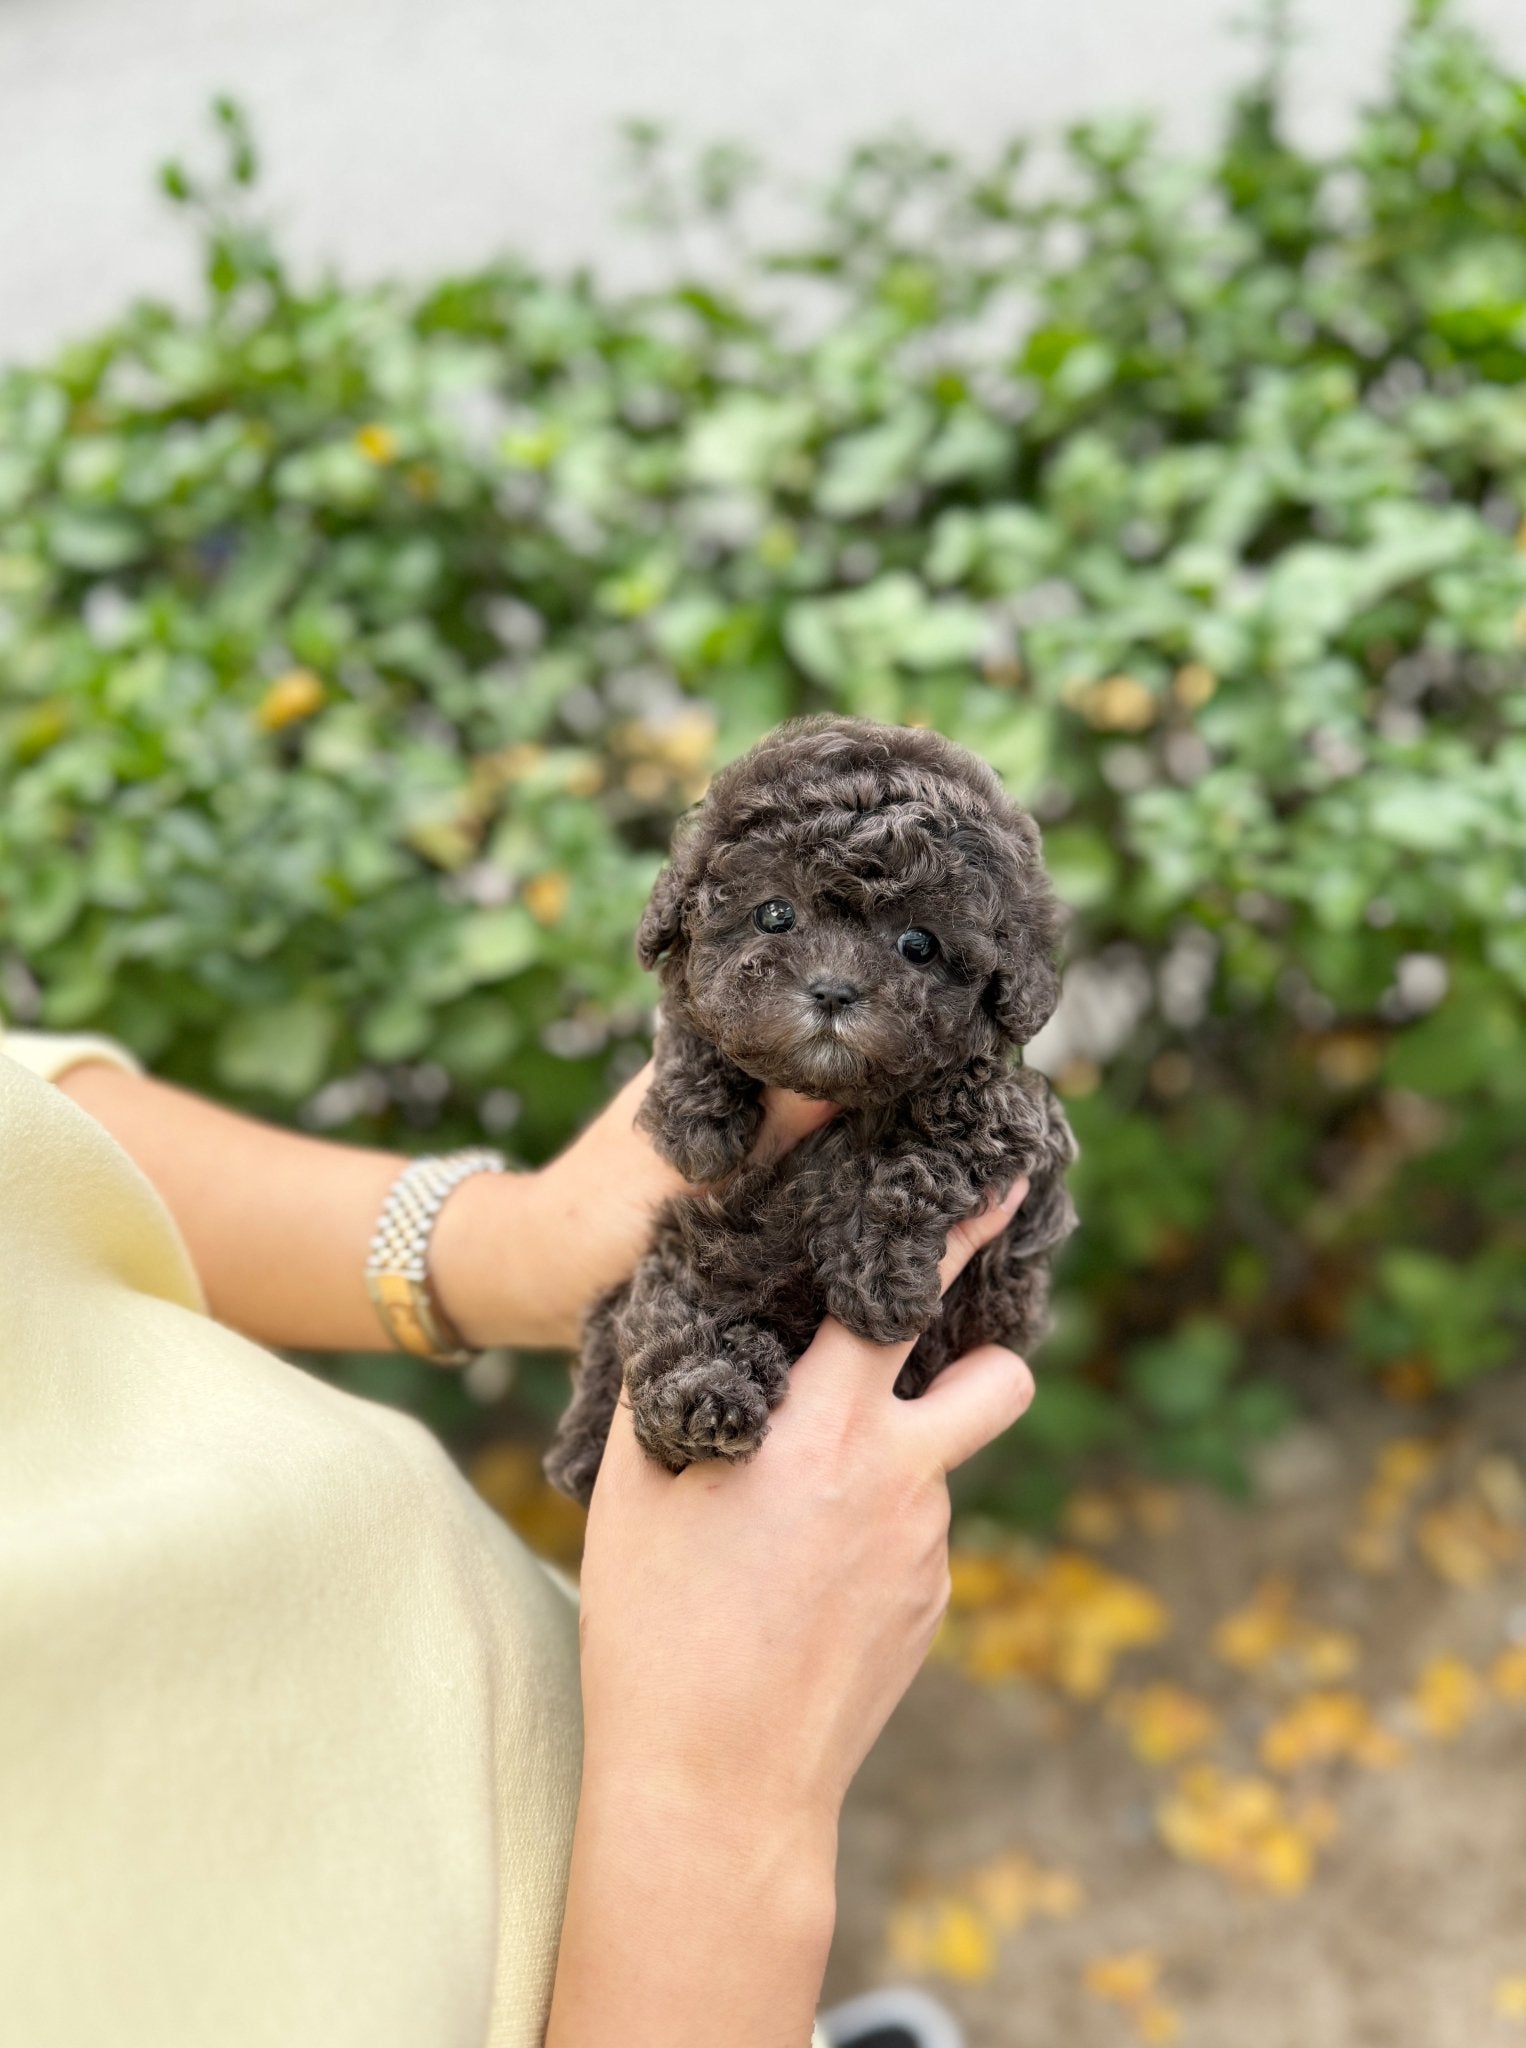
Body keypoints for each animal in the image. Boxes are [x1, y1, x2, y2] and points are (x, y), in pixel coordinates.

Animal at [540, 716, 1081, 1507]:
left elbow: (922, 1152)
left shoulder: (1016, 1115)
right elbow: (689, 1019)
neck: (834, 1096)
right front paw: (695, 1118)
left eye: (919, 944)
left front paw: (881, 1277)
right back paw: (683, 1407)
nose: (831, 990)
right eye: (774, 913)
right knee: (671, 1320)